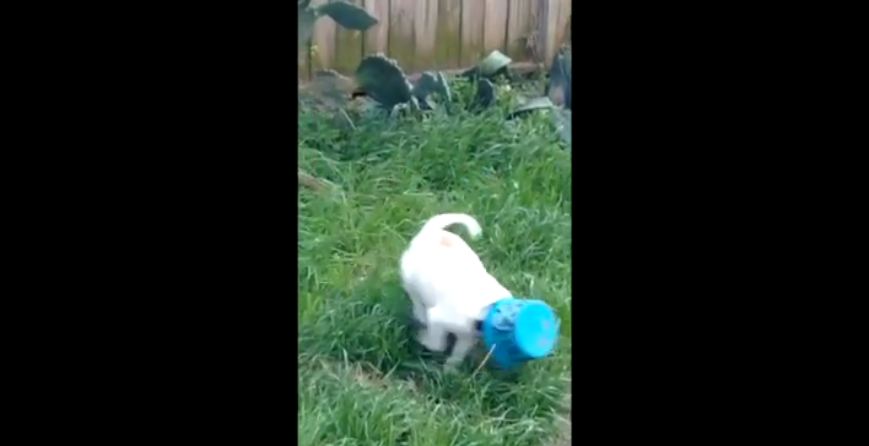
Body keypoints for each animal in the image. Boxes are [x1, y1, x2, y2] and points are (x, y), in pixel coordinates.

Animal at [402, 213, 516, 370]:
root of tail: (433, 231)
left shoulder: (467, 337)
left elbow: (457, 354)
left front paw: (450, 370)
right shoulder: (437, 319)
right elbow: (438, 344)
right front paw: (423, 337)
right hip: (408, 275)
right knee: (415, 297)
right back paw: (420, 315)